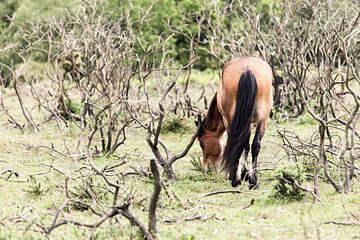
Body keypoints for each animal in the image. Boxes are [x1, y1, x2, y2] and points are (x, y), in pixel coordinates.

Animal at [197, 56, 272, 189]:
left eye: (202, 143)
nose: (206, 169)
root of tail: (248, 69)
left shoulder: (227, 121)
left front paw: (239, 174)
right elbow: (247, 146)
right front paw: (246, 174)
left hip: (233, 120)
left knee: (238, 143)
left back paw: (235, 180)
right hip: (262, 119)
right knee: (255, 145)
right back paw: (253, 181)